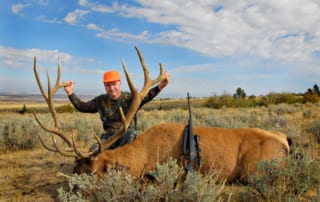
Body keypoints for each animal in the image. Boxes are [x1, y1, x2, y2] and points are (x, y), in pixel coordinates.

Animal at [33, 47, 292, 183]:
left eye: (91, 173)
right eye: (74, 170)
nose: (71, 188)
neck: (142, 156)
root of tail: (286, 143)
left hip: (255, 170)